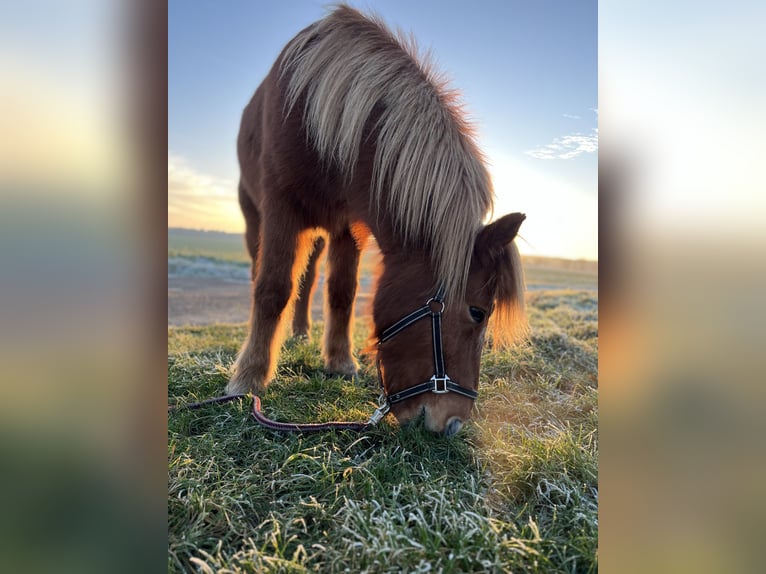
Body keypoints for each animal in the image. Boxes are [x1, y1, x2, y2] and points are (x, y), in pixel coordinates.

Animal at [226, 5, 527, 436]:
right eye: (477, 312)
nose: (453, 423)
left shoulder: (347, 225)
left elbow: (342, 292)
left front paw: (339, 361)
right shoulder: (282, 205)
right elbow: (273, 289)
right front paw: (249, 378)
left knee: (310, 277)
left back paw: (301, 332)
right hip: (255, 216)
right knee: (263, 272)